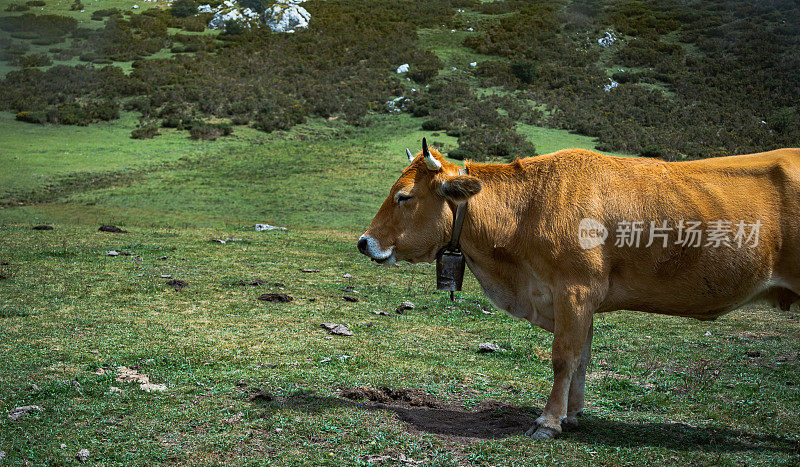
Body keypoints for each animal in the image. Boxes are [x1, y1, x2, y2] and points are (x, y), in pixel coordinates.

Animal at [360, 139, 800, 438]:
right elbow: (583, 358)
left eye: (404, 196)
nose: (364, 242)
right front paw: (572, 415)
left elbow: (563, 358)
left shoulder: (573, 291)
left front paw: (549, 421)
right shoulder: (580, 301)